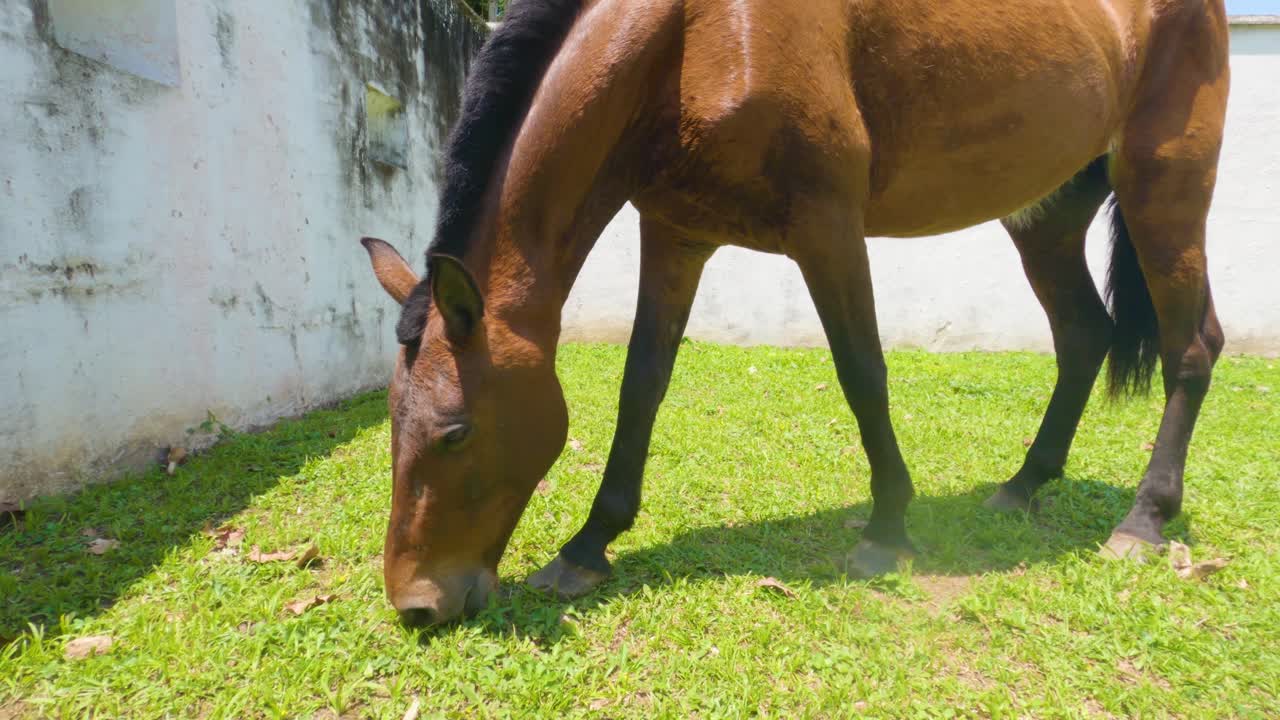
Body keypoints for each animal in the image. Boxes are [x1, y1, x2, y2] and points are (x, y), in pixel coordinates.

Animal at [360, 0, 1230, 627]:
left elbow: (862, 372)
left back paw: (1144, 519)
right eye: (393, 421)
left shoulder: (828, 228)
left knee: (1193, 347)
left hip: (1164, 190)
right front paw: (589, 545)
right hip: (1045, 214)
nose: (416, 604)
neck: (698, 34)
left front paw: (887, 527)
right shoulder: (674, 236)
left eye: (457, 432)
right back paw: (1024, 484)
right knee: (1084, 336)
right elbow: (642, 387)